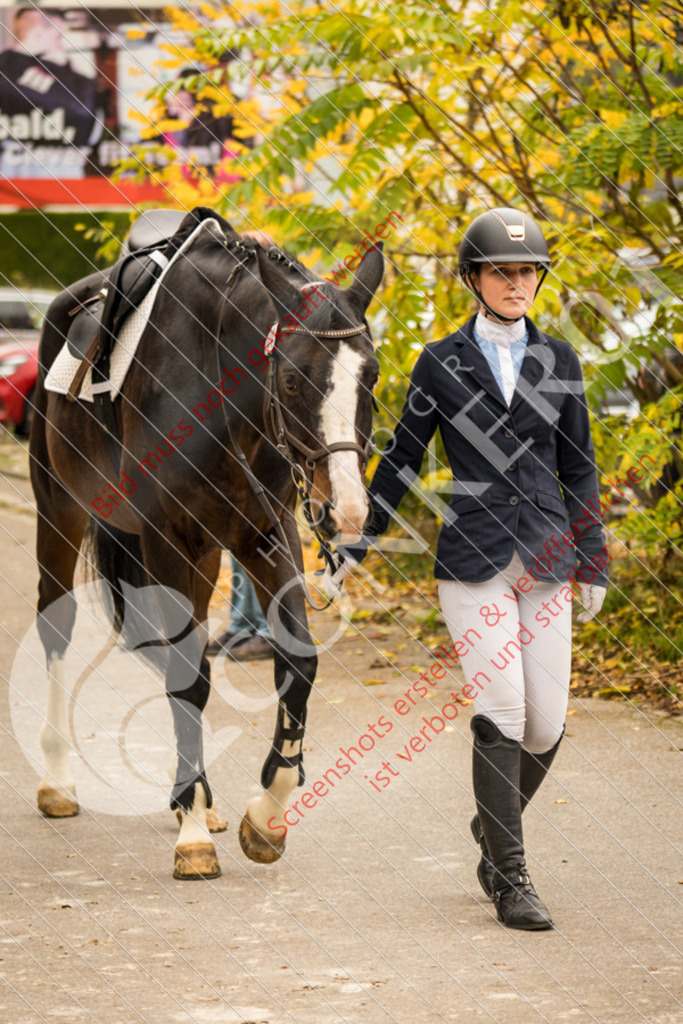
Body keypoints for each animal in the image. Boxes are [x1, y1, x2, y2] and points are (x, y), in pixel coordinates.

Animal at [30, 209, 385, 880]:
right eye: (292, 379)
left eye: (371, 378)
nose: (347, 512)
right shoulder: (166, 536)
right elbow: (188, 676)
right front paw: (192, 832)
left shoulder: (265, 535)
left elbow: (297, 663)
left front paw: (264, 816)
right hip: (60, 512)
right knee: (56, 626)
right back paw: (59, 782)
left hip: (204, 557)